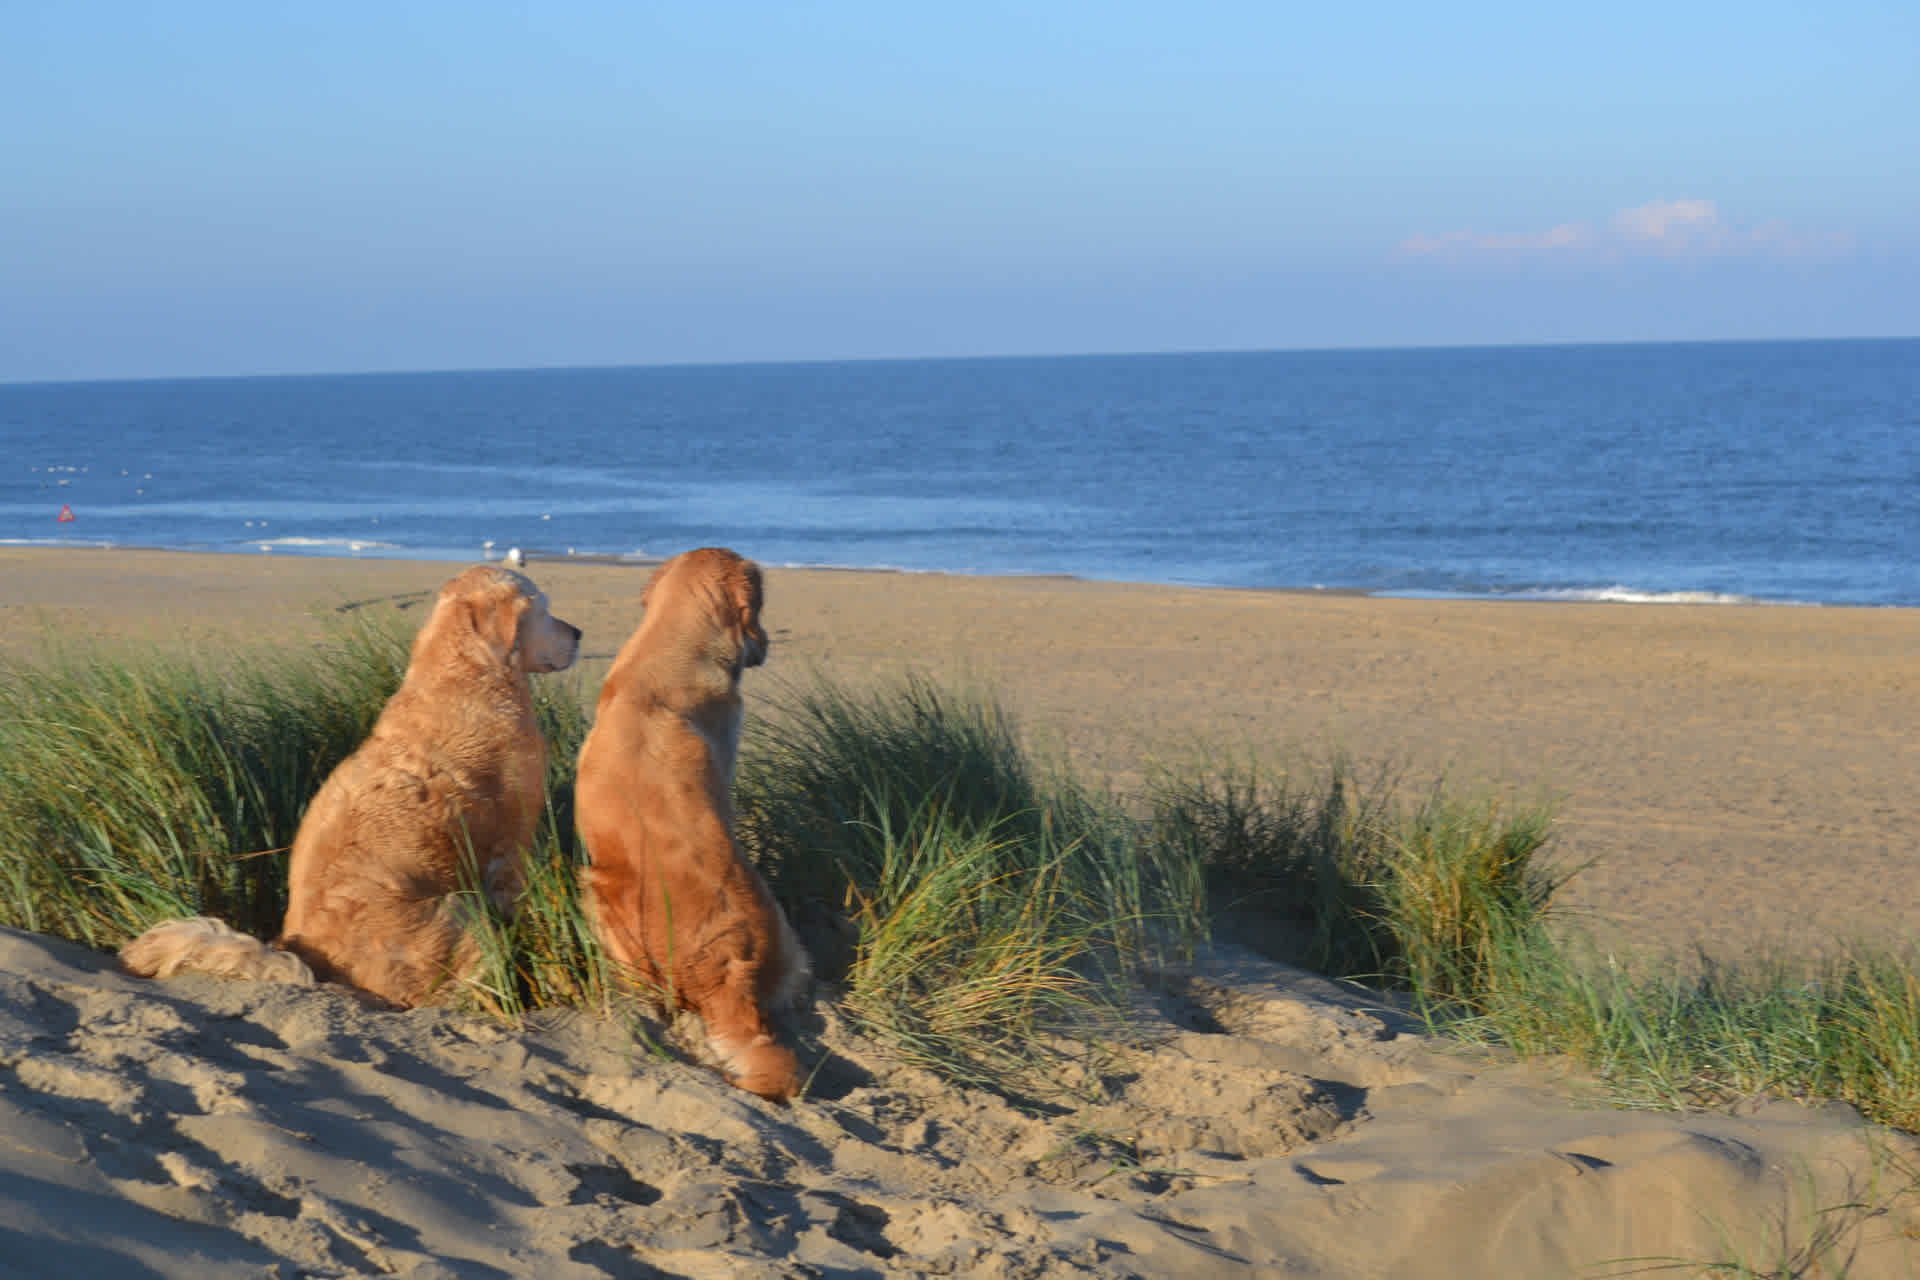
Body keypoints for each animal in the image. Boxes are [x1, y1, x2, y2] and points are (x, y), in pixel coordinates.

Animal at [119, 564, 576, 1005]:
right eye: (545, 609)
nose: (578, 634)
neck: (466, 672)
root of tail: (309, 960)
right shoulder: (512, 841)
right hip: (457, 909)